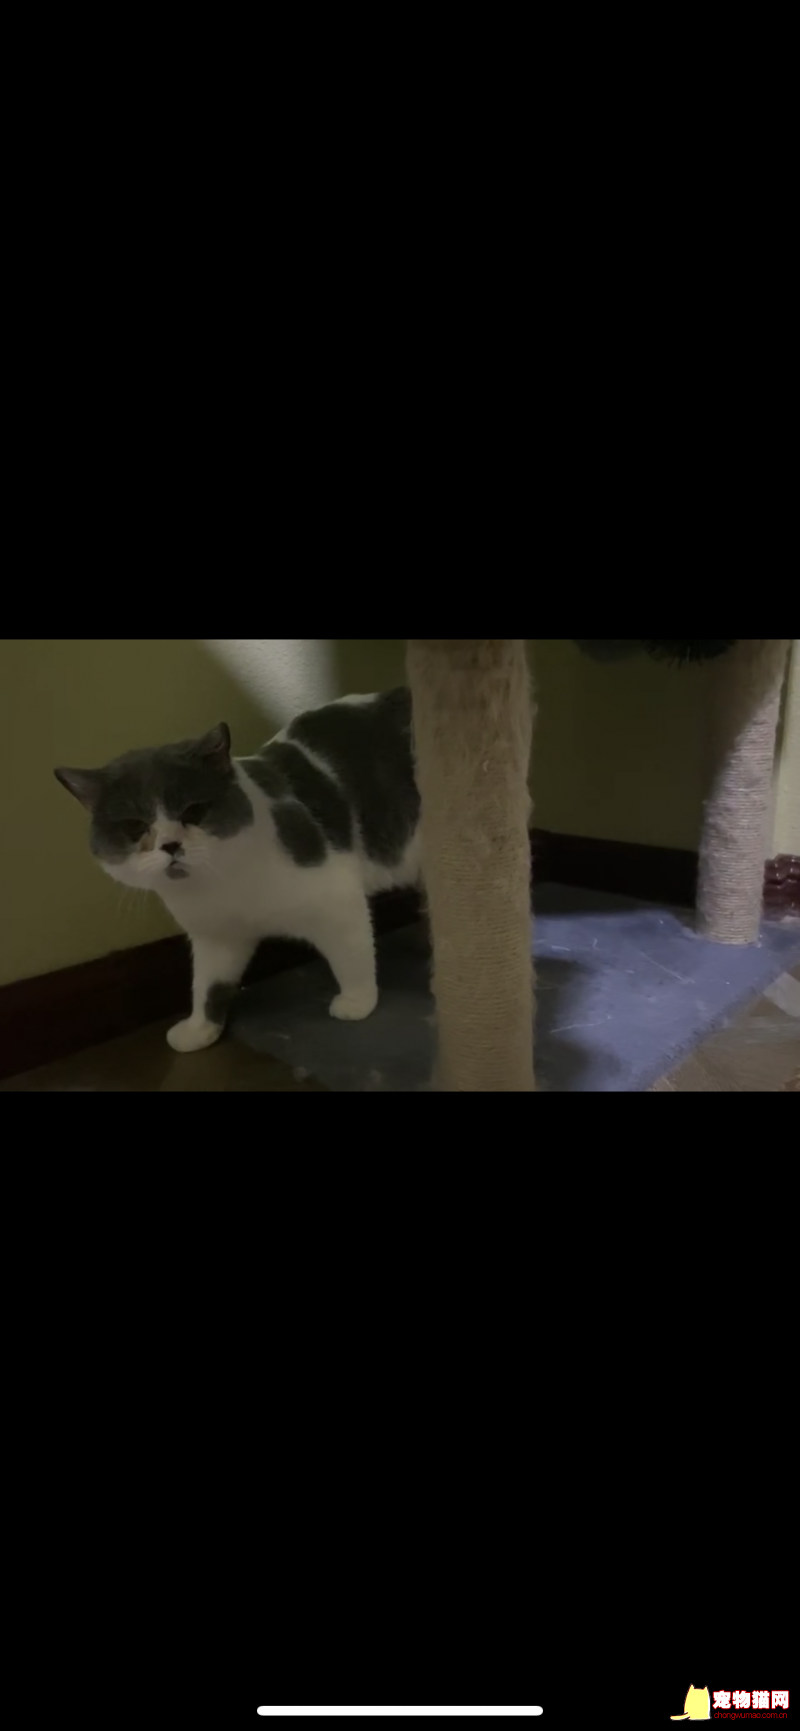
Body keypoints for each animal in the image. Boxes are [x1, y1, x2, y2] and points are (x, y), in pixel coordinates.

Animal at [55, 689, 422, 1052]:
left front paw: (357, 1002)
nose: (170, 845)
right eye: (134, 826)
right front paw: (199, 1029)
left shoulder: (335, 898)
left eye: (194, 811)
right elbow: (207, 985)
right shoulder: (216, 936)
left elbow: (352, 954)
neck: (220, 884)